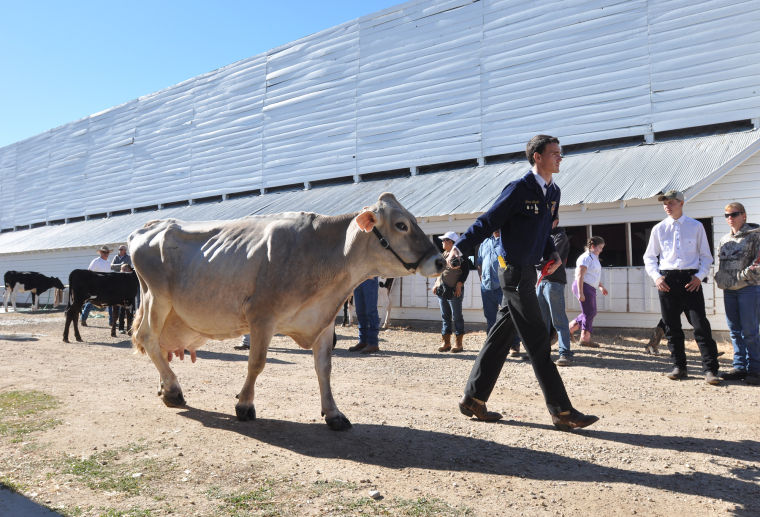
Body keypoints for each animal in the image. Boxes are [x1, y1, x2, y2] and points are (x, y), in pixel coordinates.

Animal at [128, 192, 443, 430]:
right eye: (401, 225)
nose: (441, 261)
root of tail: (150, 226)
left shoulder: (324, 321)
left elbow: (324, 368)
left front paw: (333, 413)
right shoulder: (262, 316)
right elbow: (256, 363)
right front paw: (244, 405)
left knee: (158, 345)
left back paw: (165, 387)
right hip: (158, 298)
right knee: (148, 338)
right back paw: (173, 390)